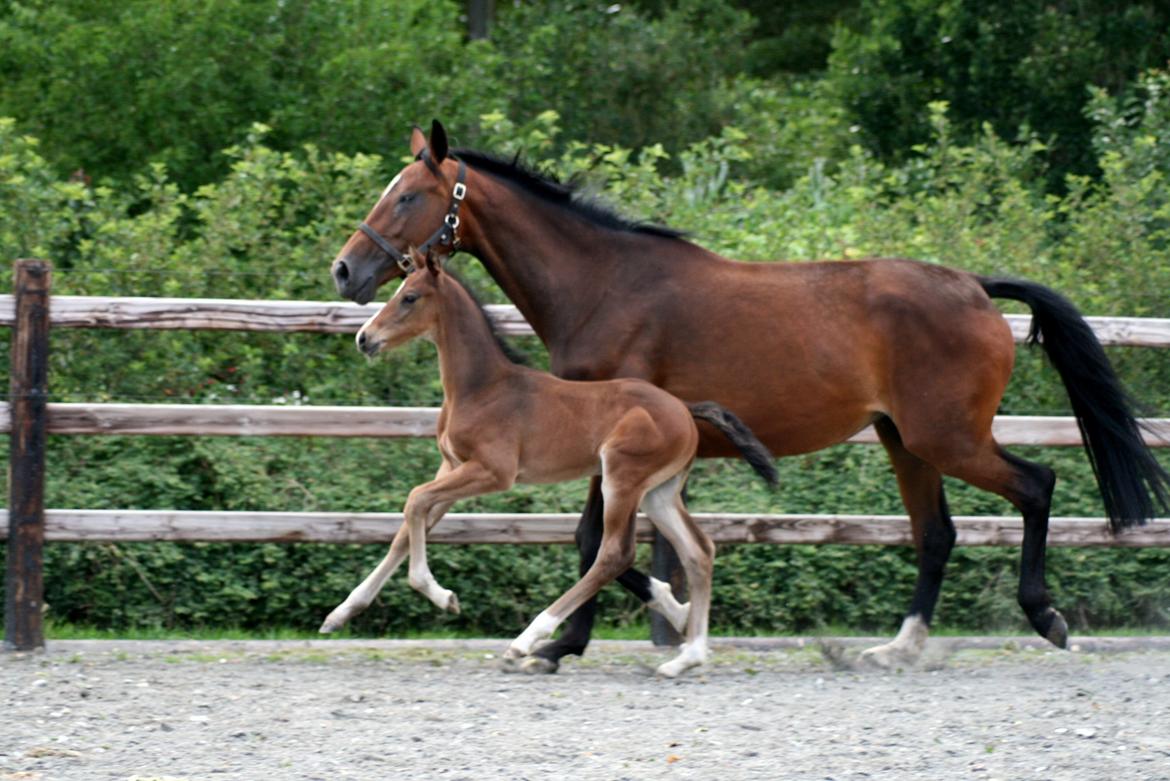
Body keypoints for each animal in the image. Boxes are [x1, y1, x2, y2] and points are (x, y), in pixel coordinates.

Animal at [322, 250, 776, 678]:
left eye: (410, 297)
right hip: (659, 493)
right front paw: (341, 613)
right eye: (398, 290)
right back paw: (687, 658)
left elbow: (414, 501)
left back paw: (527, 641)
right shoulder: (452, 467)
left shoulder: (493, 472)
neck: (481, 387)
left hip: (621, 478)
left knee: (614, 553)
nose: (364, 338)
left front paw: (440, 595)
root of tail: (684, 408)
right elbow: (407, 527)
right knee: (699, 550)